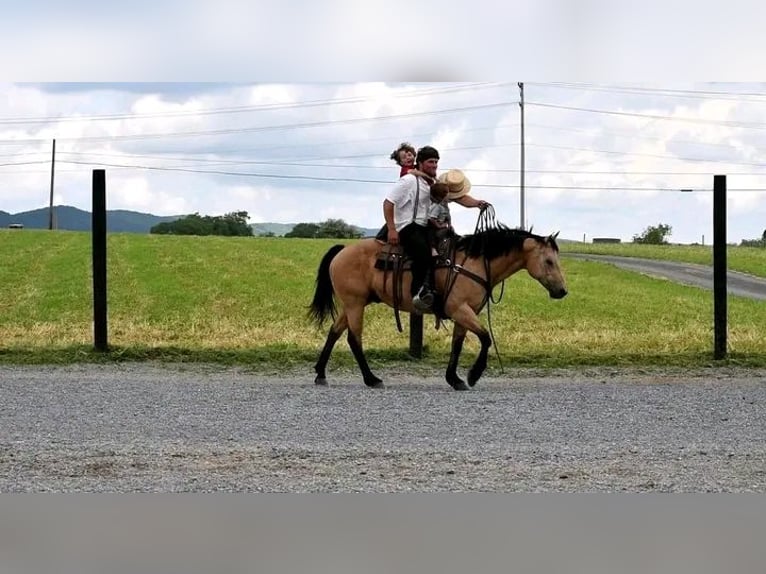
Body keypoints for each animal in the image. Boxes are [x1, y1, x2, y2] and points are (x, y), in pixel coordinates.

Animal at [308, 214, 568, 394]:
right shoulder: (460, 309)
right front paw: (473, 375)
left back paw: (321, 373)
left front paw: (455, 379)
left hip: (352, 304)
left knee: (334, 332)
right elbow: (485, 338)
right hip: (355, 304)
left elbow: (457, 345)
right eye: (548, 261)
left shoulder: (465, 314)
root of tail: (342, 250)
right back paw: (372, 379)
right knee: (354, 339)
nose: (562, 291)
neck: (474, 262)